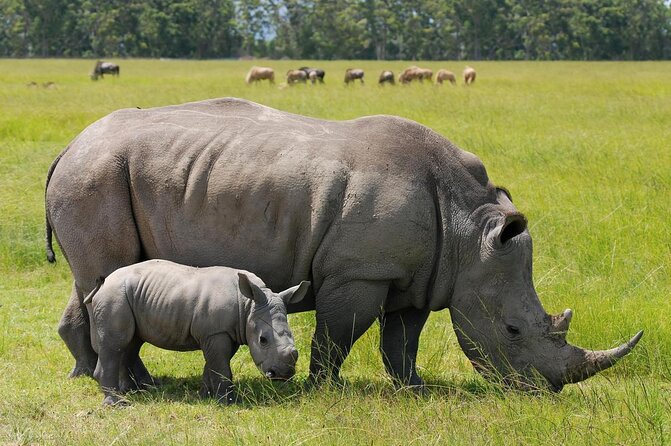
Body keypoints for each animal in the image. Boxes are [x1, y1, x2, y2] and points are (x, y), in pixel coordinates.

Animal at [83, 259, 308, 405]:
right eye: (263, 340)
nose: (283, 374)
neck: (248, 305)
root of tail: (104, 283)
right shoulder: (216, 332)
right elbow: (221, 366)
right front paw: (228, 403)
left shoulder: (223, 331)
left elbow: (214, 364)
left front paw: (205, 396)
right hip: (114, 296)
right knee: (116, 344)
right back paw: (118, 404)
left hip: (126, 297)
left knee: (130, 343)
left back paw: (134, 392)